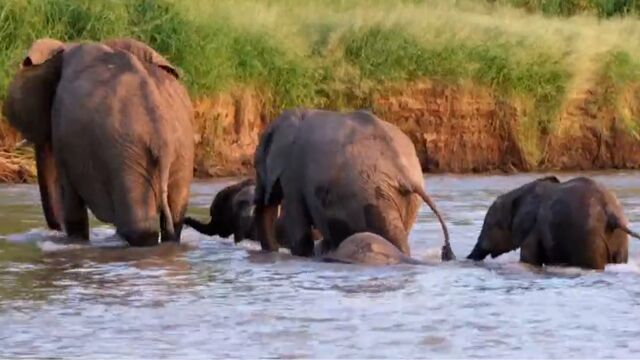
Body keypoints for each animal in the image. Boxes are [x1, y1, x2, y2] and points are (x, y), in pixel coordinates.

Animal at [3, 39, 194, 246]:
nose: (56, 231)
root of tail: (163, 140)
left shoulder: (63, 132)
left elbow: (70, 198)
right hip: (180, 150)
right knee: (174, 217)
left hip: (126, 154)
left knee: (139, 226)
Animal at [252, 108, 452, 260]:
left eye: (256, 165)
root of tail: (404, 172)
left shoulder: (293, 171)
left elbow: (298, 229)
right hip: (405, 201)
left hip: (374, 194)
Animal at [464, 176, 640, 268]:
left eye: (490, 226)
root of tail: (611, 212)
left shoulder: (534, 229)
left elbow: (529, 259)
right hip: (619, 239)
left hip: (589, 239)